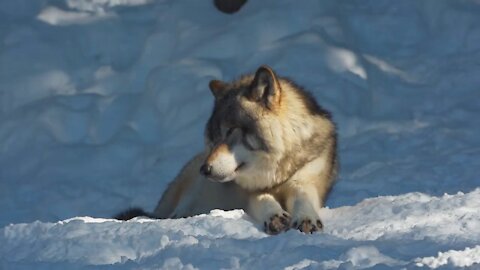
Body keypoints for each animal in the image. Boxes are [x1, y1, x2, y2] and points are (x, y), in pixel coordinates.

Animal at [115, 66, 338, 234]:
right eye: (213, 139)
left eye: (230, 131)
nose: (205, 170)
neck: (274, 176)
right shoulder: (249, 193)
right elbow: (263, 199)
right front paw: (275, 216)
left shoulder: (307, 178)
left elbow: (304, 197)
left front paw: (306, 219)